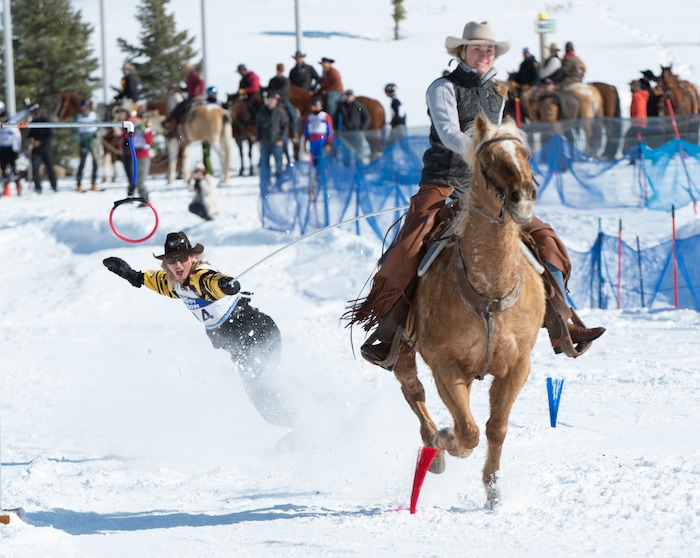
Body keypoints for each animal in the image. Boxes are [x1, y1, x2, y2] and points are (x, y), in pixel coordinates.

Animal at [391, 112, 545, 508]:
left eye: (526, 154)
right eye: (488, 160)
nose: (524, 198)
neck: (489, 292)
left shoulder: (517, 366)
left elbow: (495, 428)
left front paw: (493, 491)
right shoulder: (445, 365)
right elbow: (468, 430)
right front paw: (445, 440)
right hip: (403, 352)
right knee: (413, 392)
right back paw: (435, 451)